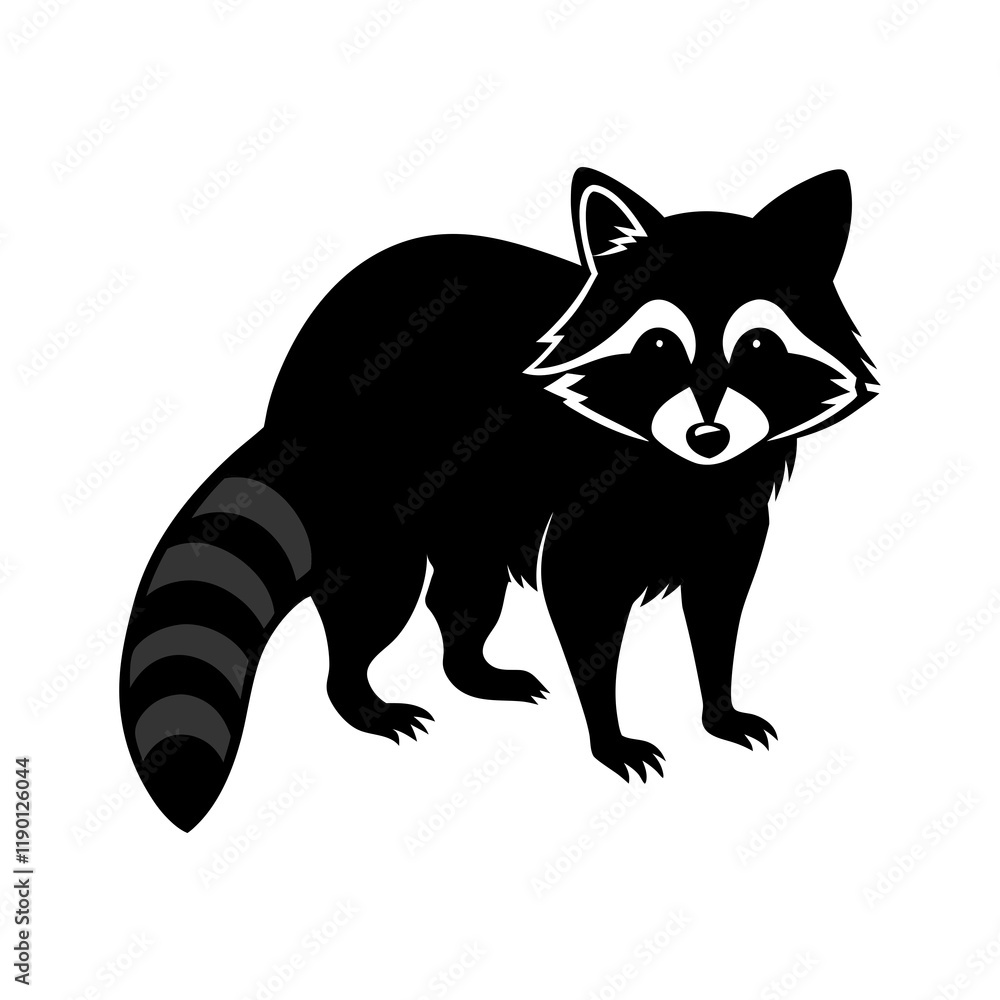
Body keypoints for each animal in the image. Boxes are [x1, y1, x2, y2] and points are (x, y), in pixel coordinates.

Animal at [120, 167, 876, 830]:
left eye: (759, 343)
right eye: (660, 345)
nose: (709, 435)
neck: (684, 472)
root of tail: (289, 404)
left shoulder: (730, 505)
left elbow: (719, 605)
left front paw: (718, 706)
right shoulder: (595, 486)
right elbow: (582, 597)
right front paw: (608, 731)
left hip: (472, 505)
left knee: (463, 592)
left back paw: (469, 665)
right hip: (371, 487)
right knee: (374, 599)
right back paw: (359, 694)